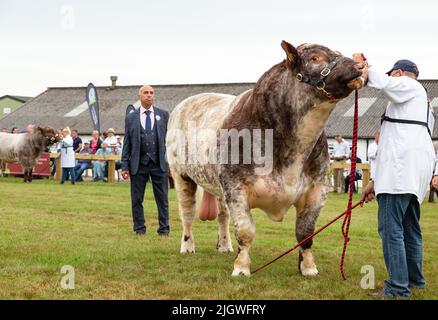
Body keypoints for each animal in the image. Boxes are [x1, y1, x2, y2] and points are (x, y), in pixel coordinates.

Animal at [166, 41, 368, 276]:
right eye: (315, 58)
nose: (361, 65)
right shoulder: (236, 187)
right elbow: (245, 231)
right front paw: (241, 268)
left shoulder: (316, 189)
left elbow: (305, 233)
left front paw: (309, 268)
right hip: (181, 174)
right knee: (187, 213)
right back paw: (188, 246)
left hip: (218, 184)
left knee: (223, 216)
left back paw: (224, 245)